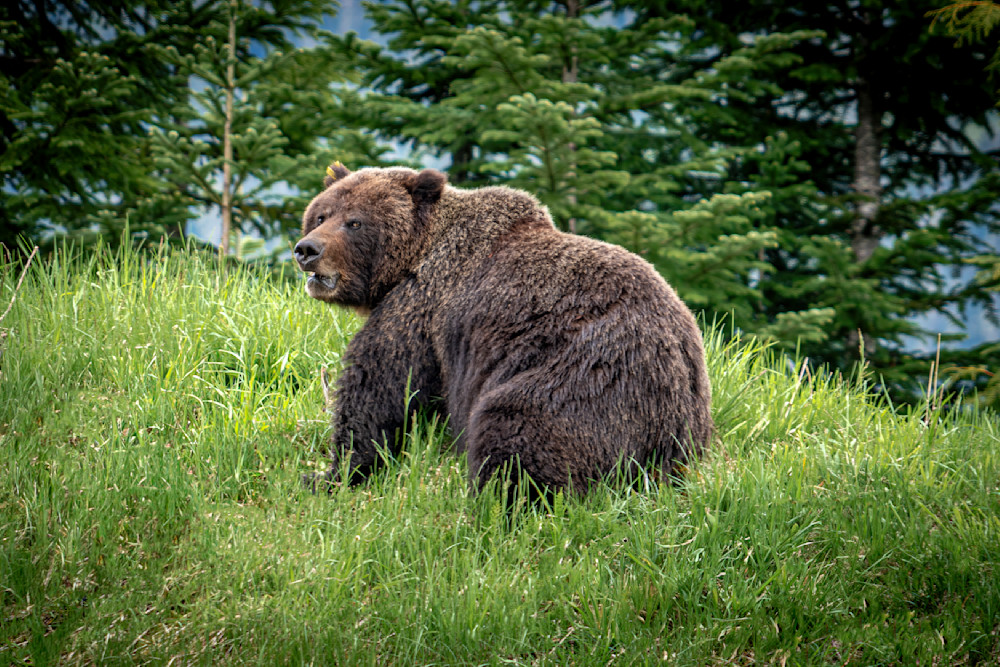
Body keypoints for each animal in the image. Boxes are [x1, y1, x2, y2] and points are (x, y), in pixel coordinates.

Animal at [294, 163, 713, 496]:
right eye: (321, 215)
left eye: (355, 221)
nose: (307, 249)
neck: (415, 255)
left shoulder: (423, 305)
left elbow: (380, 383)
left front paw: (330, 473)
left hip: (590, 380)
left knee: (515, 428)